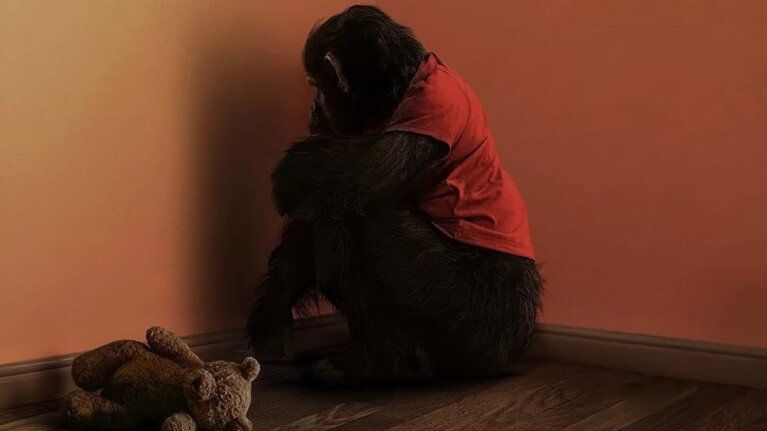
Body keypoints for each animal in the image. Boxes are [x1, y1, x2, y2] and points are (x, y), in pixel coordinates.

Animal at [246, 5, 543, 387]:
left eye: (317, 86)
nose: (312, 107)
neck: (401, 86)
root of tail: (510, 354)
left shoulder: (431, 108)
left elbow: (370, 167)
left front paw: (288, 175)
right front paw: (273, 314)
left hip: (460, 314)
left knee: (351, 215)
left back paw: (375, 365)